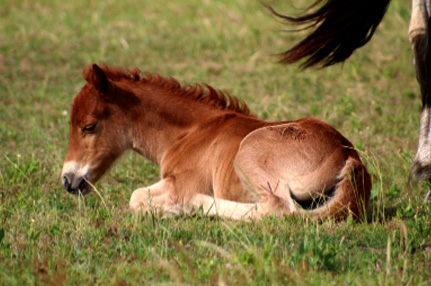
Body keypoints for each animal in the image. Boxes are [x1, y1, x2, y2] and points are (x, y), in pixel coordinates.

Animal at [60, 65, 372, 221]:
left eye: (88, 126)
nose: (67, 180)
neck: (191, 132)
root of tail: (349, 157)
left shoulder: (184, 182)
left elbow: (136, 196)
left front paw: (171, 208)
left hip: (248, 153)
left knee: (279, 211)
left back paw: (189, 207)